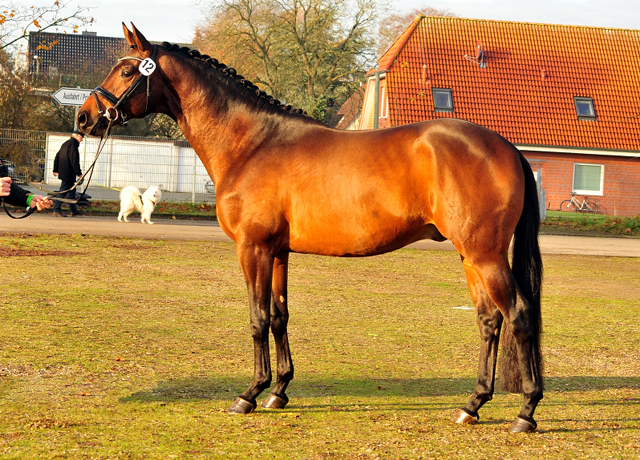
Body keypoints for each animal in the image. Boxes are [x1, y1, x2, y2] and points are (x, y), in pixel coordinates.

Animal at [77, 23, 544, 434]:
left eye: (125, 71)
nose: (84, 118)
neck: (253, 143)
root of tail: (507, 147)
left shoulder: (253, 248)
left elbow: (257, 318)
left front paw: (249, 394)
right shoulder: (278, 252)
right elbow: (279, 316)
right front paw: (278, 391)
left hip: (485, 255)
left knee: (519, 316)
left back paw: (526, 412)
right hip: (470, 256)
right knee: (489, 320)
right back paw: (473, 405)